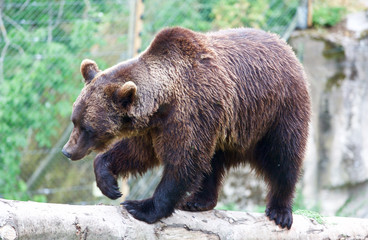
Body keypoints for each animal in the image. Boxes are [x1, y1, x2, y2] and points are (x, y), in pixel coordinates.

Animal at [62, 26, 310, 229]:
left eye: (87, 128)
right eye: (74, 120)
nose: (67, 151)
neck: (164, 102)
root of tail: (286, 46)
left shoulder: (191, 111)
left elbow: (184, 160)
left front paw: (142, 206)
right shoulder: (155, 127)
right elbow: (136, 152)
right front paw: (109, 183)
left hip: (277, 111)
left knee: (283, 156)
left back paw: (280, 211)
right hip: (225, 129)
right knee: (213, 162)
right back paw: (198, 201)